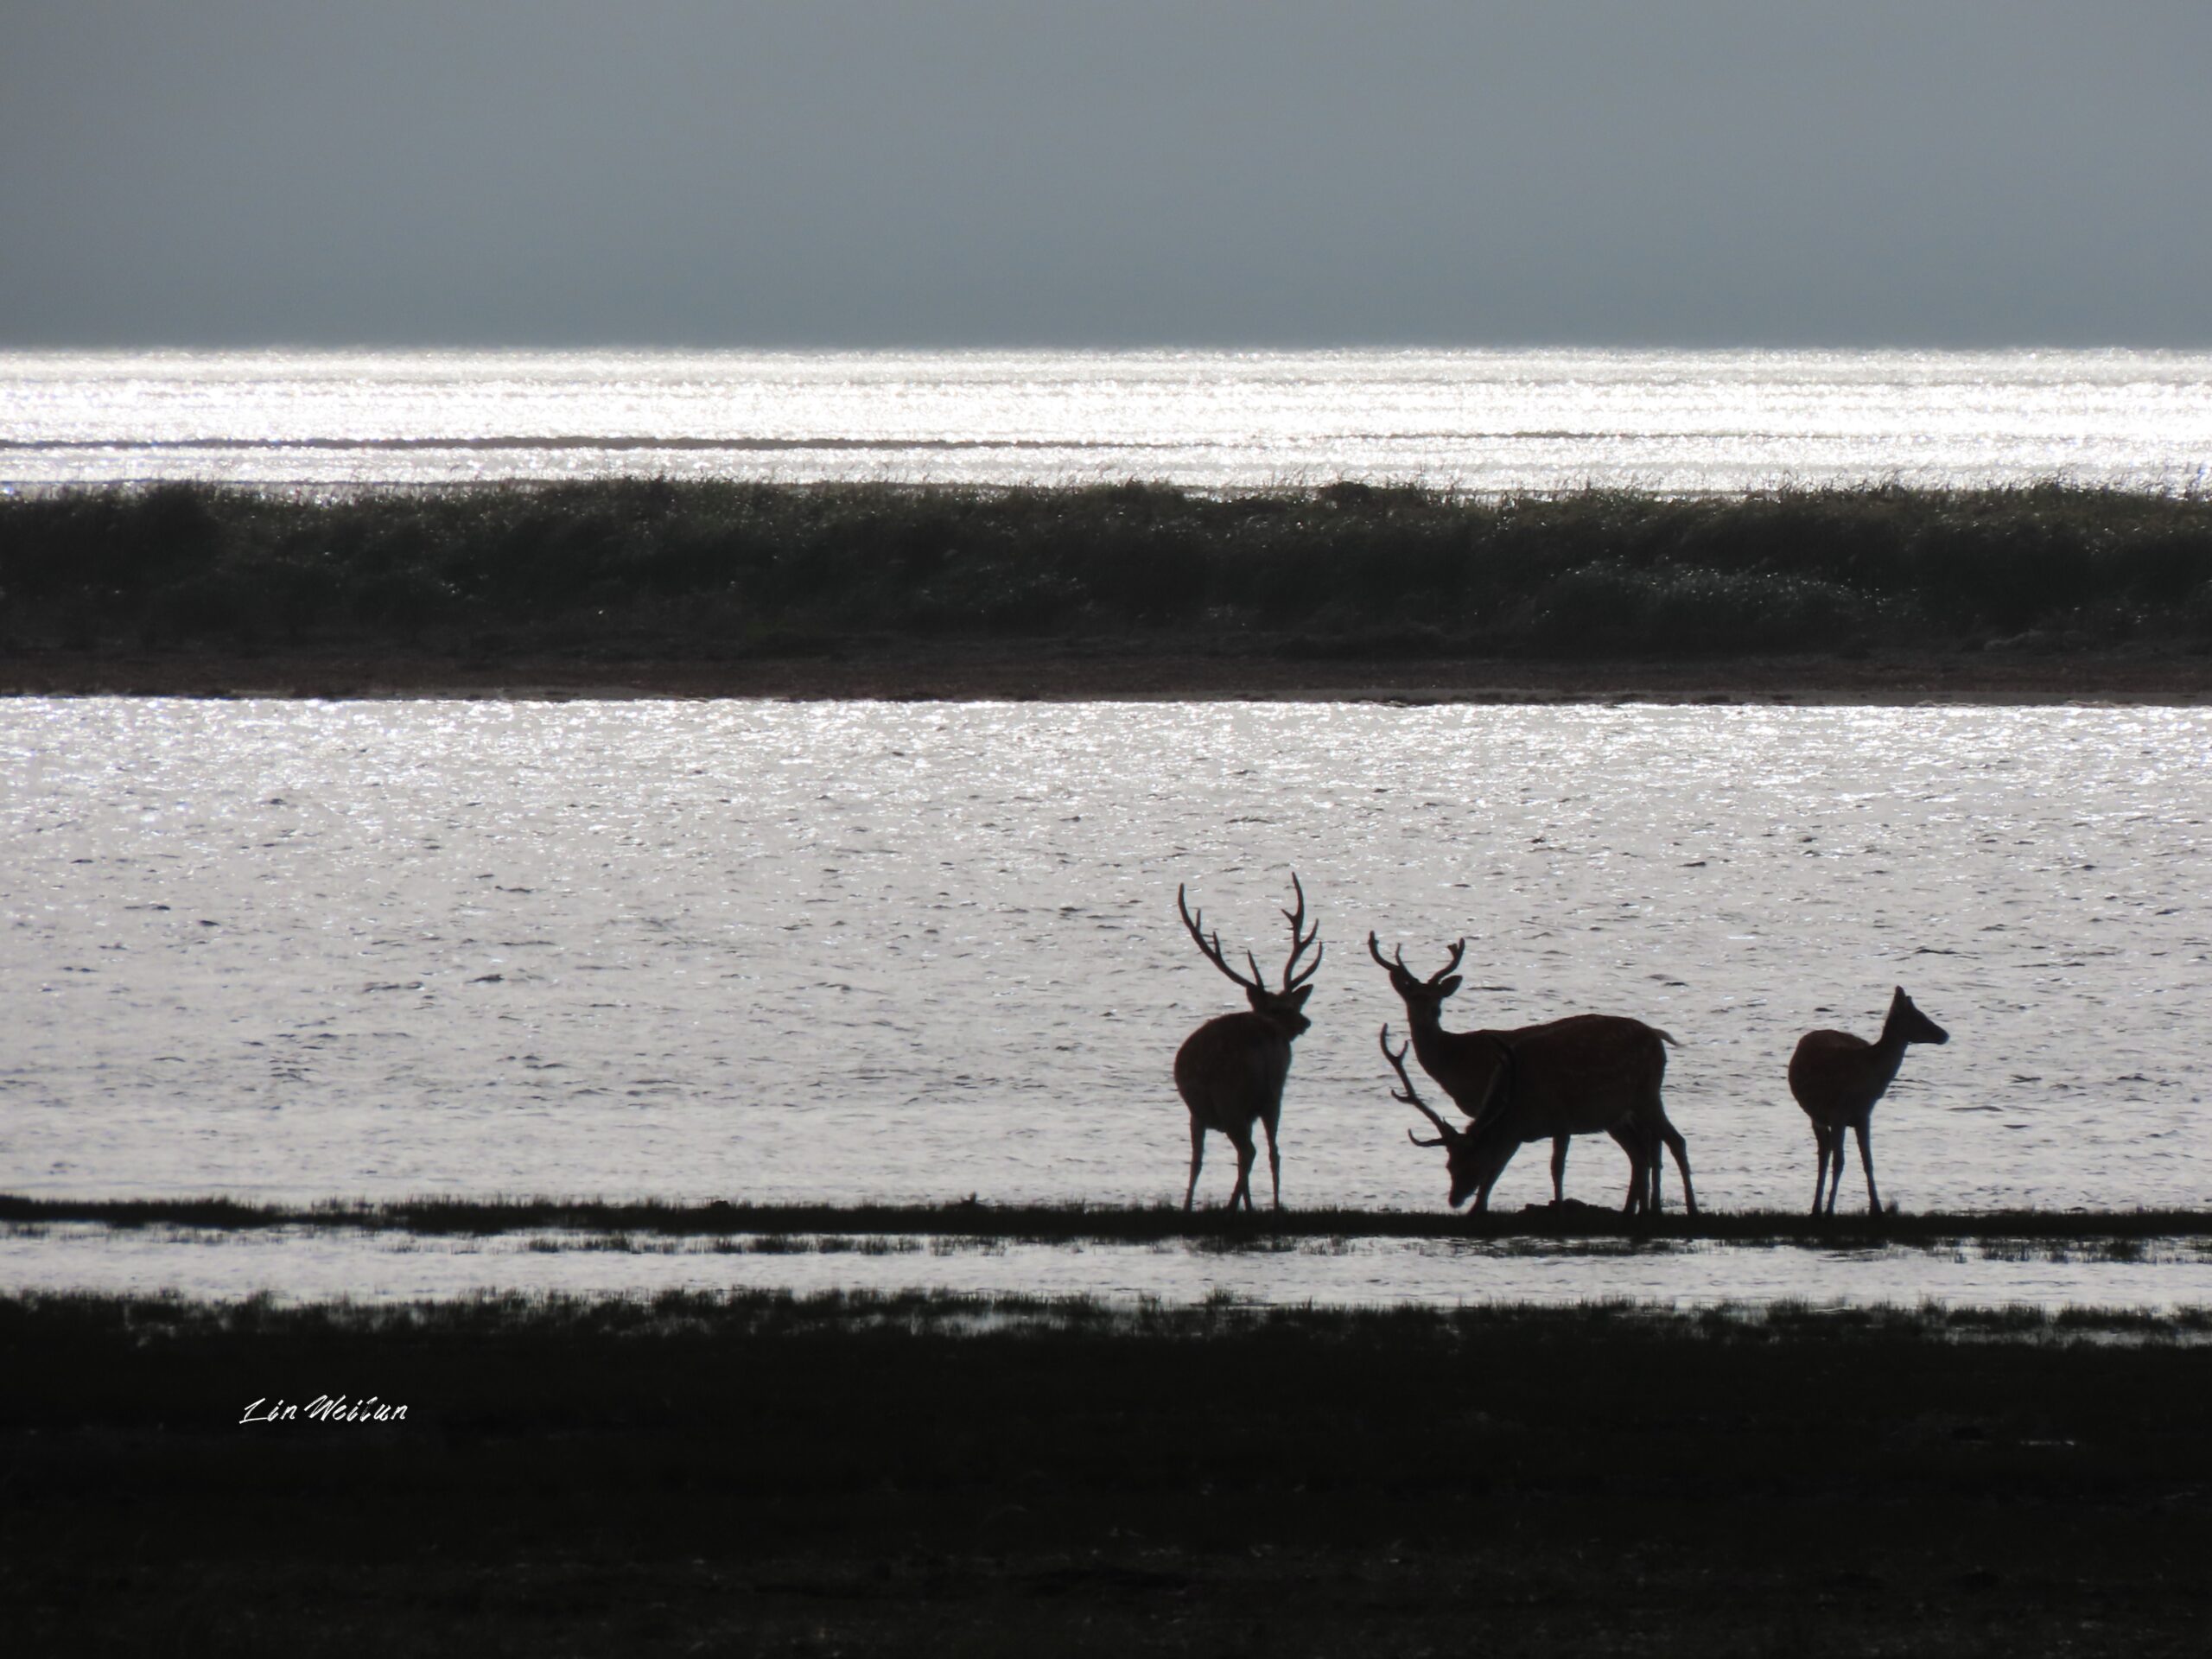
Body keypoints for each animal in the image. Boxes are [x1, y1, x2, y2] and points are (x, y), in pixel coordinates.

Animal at [1172, 874, 1323, 1212]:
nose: (1305, 1022)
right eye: (1284, 1007)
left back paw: (1228, 1206)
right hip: (1267, 1096)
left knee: (1243, 1152)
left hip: (1225, 1101)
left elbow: (1197, 1162)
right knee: (1268, 1152)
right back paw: (1267, 1205)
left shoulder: (1198, 1113)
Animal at [1367, 934, 1696, 1213]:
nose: (1431, 1014)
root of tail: (1657, 1034)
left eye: (1438, 998)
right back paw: (1643, 1207)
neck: (1454, 1060)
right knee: (1646, 1148)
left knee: (1665, 1141)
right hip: (1621, 1112)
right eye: (1412, 997)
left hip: (1641, 1098)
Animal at [1788, 985, 1950, 1216]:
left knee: (1825, 1151)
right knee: (1824, 1154)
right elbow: (1840, 1162)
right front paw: (1830, 1209)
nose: (1944, 1034)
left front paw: (1877, 1207)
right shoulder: (1838, 1114)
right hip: (1816, 1116)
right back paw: (1817, 1207)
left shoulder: (1865, 1114)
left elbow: (1868, 1161)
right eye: (1918, 1016)